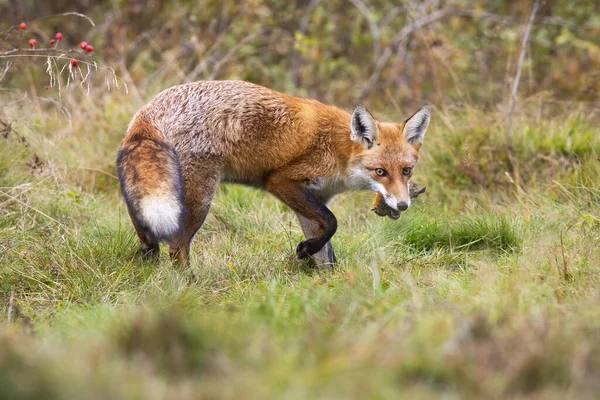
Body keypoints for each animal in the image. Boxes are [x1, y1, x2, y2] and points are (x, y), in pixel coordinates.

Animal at [117, 80, 428, 268]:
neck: (338, 151)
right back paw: (187, 283)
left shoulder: (317, 196)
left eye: (406, 171)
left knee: (147, 237)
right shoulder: (281, 181)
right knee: (178, 247)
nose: (403, 205)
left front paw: (326, 279)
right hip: (199, 198)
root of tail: (150, 107)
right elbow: (332, 222)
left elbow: (326, 247)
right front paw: (306, 252)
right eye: (380, 171)